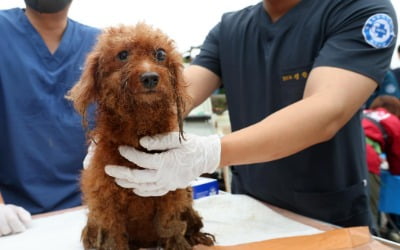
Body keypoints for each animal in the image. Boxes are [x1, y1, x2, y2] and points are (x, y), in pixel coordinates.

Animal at [67, 23, 214, 250]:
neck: (139, 129)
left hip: (188, 201)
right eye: (122, 54)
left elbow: (170, 227)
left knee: (191, 223)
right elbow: (113, 238)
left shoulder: (170, 193)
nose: (150, 77)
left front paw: (179, 244)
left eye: (160, 54)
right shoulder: (106, 202)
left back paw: (197, 236)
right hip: (92, 223)